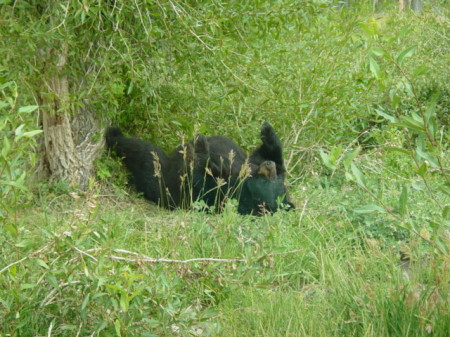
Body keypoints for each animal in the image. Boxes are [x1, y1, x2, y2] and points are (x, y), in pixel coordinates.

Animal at [106, 122, 296, 214]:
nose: (269, 167)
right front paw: (269, 135)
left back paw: (114, 136)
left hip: (162, 180)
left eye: (267, 181)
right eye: (273, 177)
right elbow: (265, 155)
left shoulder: (220, 193)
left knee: (145, 156)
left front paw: (203, 151)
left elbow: (200, 180)